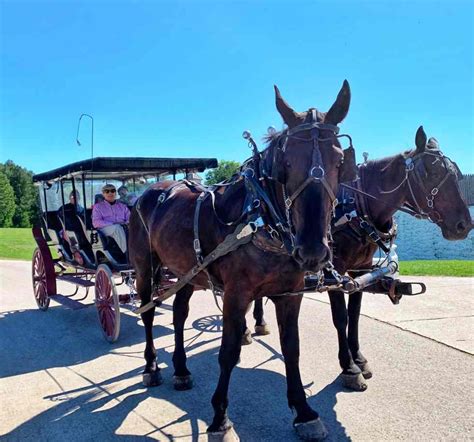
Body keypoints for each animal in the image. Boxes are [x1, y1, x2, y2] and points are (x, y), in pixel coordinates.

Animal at [128, 81, 358, 440]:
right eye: (286, 163)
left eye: (339, 162)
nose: (312, 250)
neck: (262, 217)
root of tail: (150, 192)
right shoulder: (236, 295)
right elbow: (228, 353)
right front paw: (220, 418)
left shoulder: (289, 294)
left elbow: (291, 348)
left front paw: (303, 411)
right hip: (144, 268)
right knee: (149, 311)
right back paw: (152, 366)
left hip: (187, 272)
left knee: (178, 315)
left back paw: (180, 369)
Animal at [250, 124, 472, 390]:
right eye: (431, 171)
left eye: (454, 172)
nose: (464, 225)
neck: (356, 206)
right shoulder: (335, 270)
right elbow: (341, 317)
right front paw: (349, 367)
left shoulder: (360, 269)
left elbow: (355, 315)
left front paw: (359, 358)